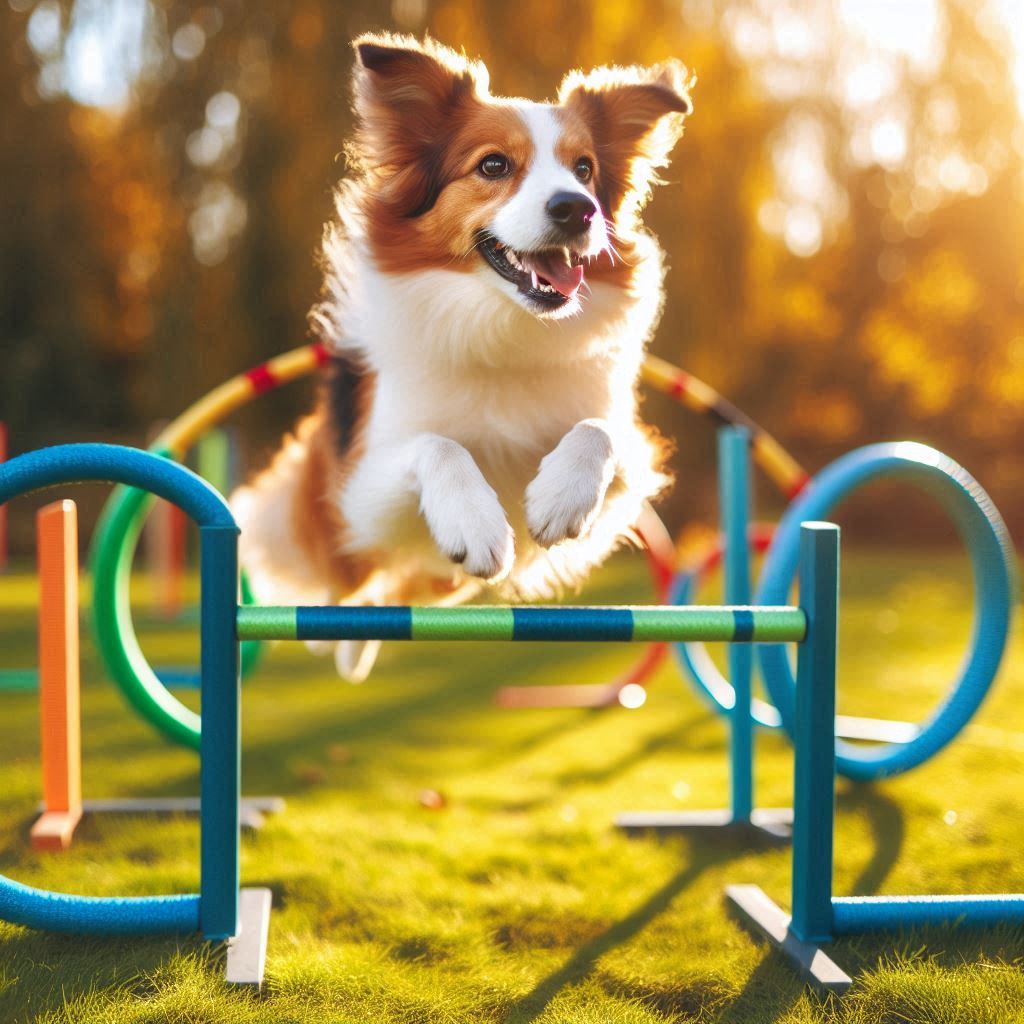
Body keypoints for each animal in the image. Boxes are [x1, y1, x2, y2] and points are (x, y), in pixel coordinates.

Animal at [231, 36, 692, 679]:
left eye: (585, 170)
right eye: (493, 165)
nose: (578, 208)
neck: (502, 325)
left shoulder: (628, 455)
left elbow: (599, 432)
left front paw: (558, 499)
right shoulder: (364, 489)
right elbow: (439, 445)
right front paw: (474, 521)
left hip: (442, 582)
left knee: (397, 590)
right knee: (352, 583)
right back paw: (336, 639)